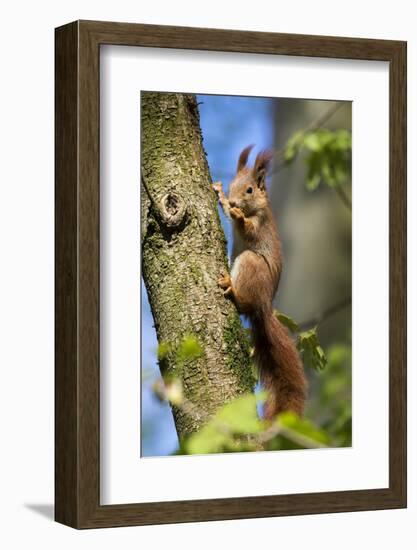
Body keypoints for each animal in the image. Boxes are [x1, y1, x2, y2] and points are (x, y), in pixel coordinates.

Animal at [214, 144, 306, 420]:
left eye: (250, 190)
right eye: (232, 185)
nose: (234, 201)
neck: (254, 209)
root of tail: (264, 306)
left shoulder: (260, 223)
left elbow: (249, 228)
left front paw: (237, 215)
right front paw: (221, 196)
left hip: (250, 263)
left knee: (243, 301)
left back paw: (232, 287)